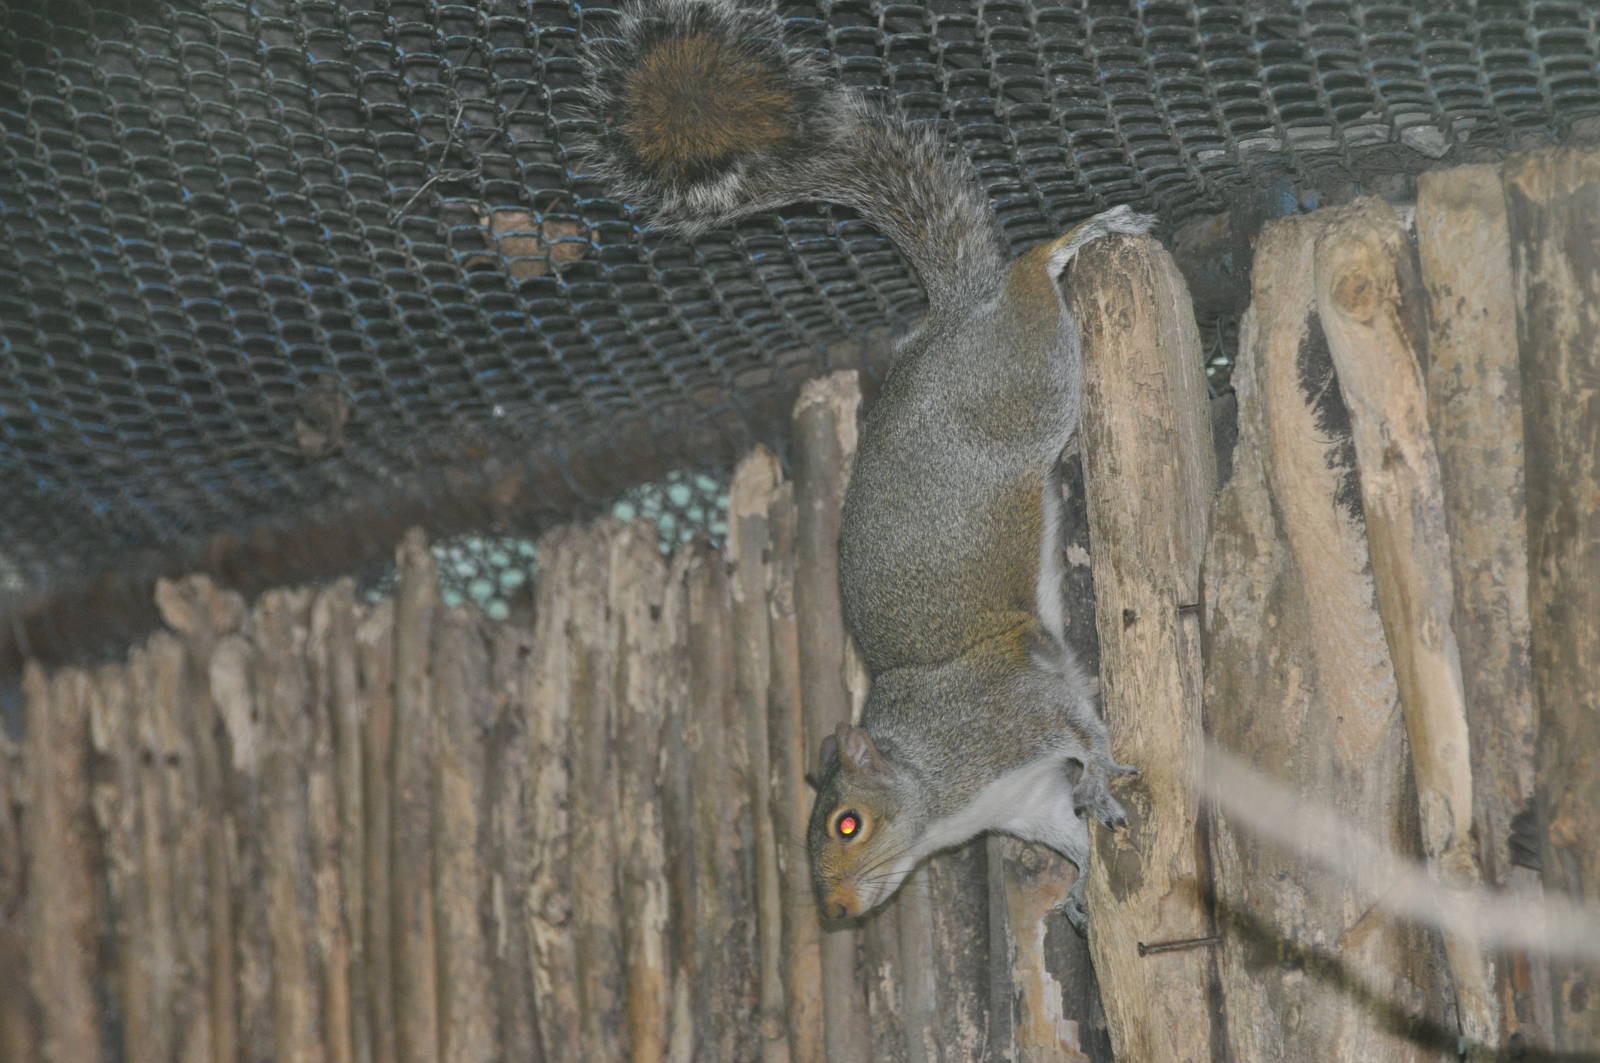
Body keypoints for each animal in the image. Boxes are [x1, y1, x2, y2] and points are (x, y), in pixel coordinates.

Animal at [576, 0, 1147, 931]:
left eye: (847, 822)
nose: (838, 909)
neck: (938, 789)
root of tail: (955, 312)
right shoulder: (1025, 801)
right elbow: (1067, 834)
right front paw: (1079, 890)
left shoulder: (1013, 713)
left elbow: (1080, 725)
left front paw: (1099, 772)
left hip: (1032, 380)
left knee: (1030, 275)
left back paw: (1080, 237)